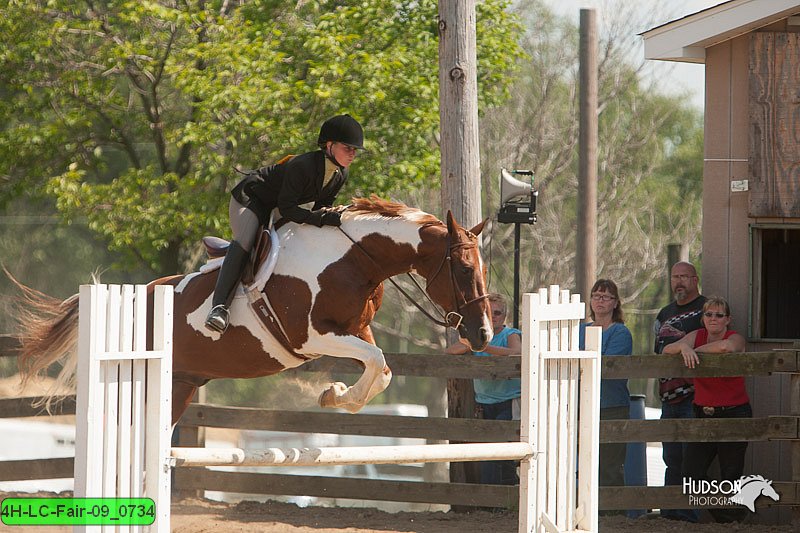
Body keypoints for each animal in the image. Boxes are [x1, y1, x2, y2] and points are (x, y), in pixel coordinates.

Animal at [12, 195, 490, 424]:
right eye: (464, 269)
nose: (483, 334)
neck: (353, 256)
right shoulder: (314, 336)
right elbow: (377, 361)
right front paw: (334, 395)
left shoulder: (355, 331)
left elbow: (382, 369)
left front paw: (334, 395)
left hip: (180, 384)